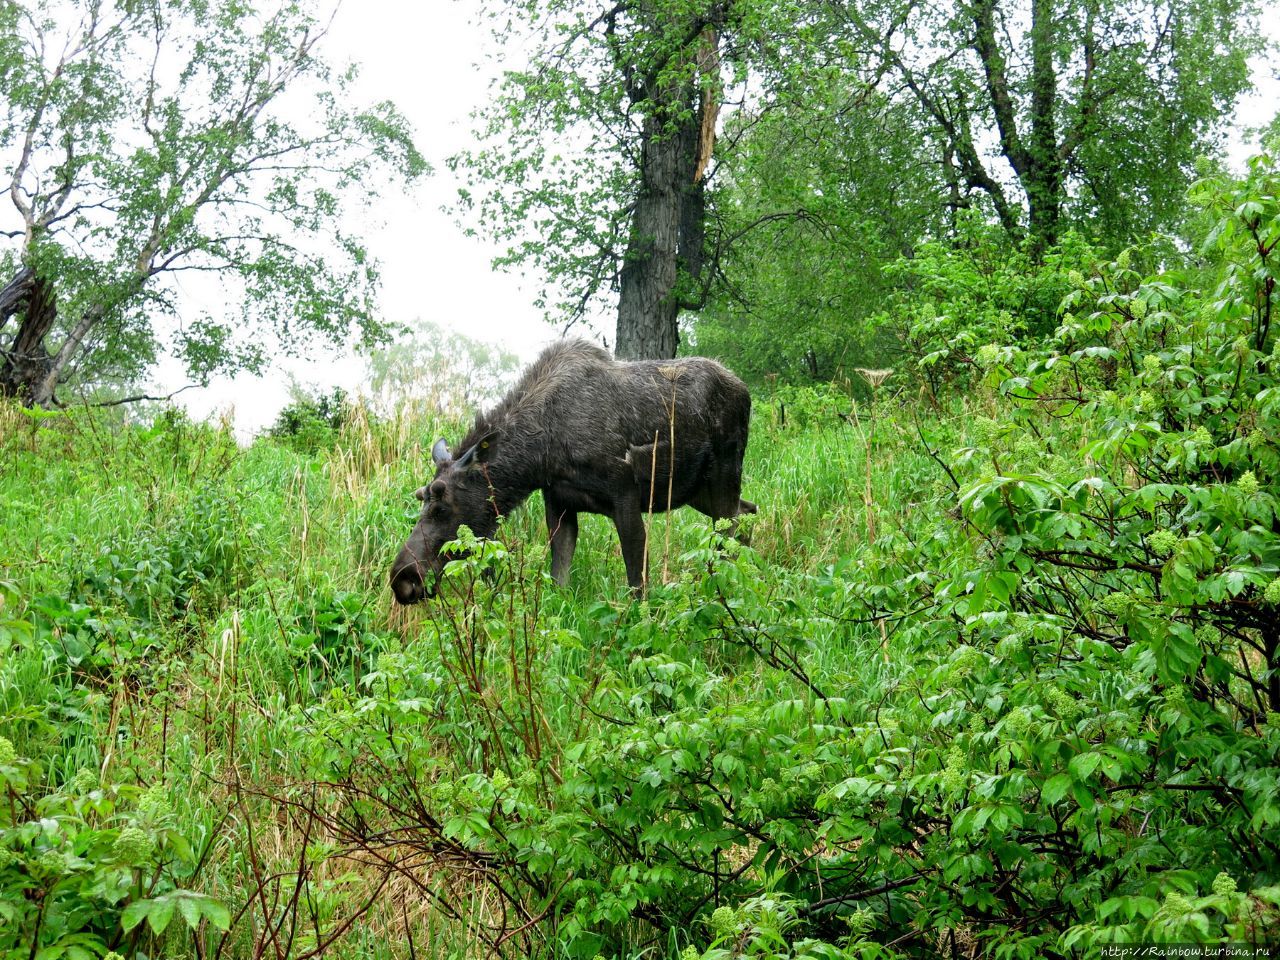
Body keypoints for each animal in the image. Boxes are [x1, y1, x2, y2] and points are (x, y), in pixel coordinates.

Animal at [384, 343, 752, 604]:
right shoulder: (559, 504)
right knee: (748, 511)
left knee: (732, 525)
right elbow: (558, 580)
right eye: (422, 496)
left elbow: (637, 584)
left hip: (723, 476)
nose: (403, 580)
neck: (541, 456)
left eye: (442, 505)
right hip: (697, 491)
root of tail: (744, 389)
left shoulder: (626, 496)